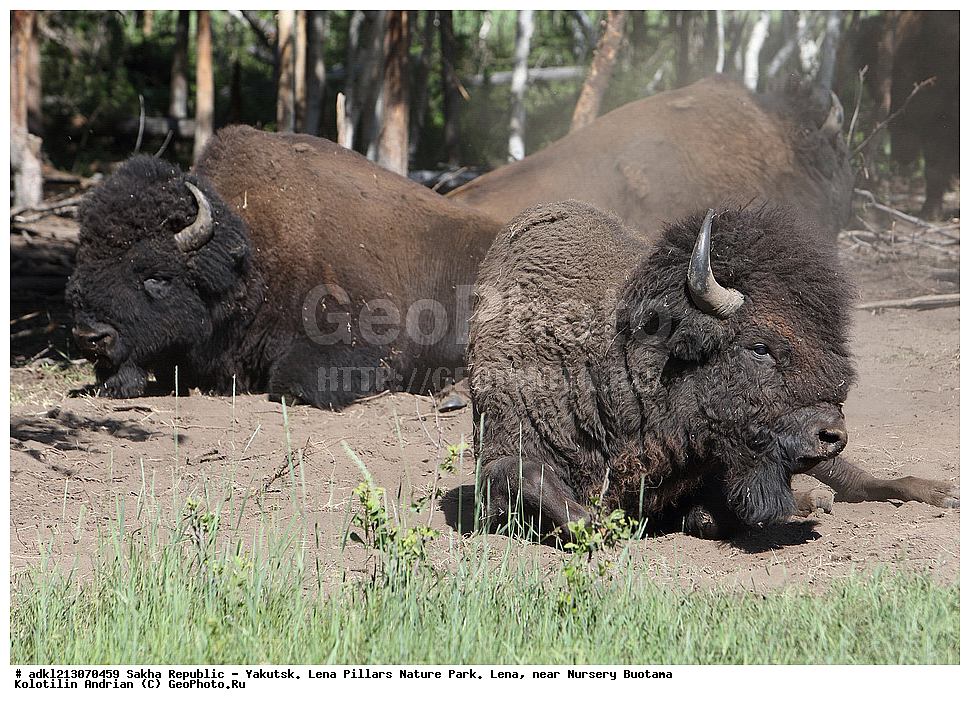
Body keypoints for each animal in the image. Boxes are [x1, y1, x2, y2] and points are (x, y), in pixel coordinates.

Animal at [469, 200, 958, 541]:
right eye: (759, 348)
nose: (832, 435)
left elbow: (710, 512)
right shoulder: (500, 452)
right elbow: (531, 478)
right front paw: (602, 521)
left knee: (857, 479)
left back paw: (937, 492)